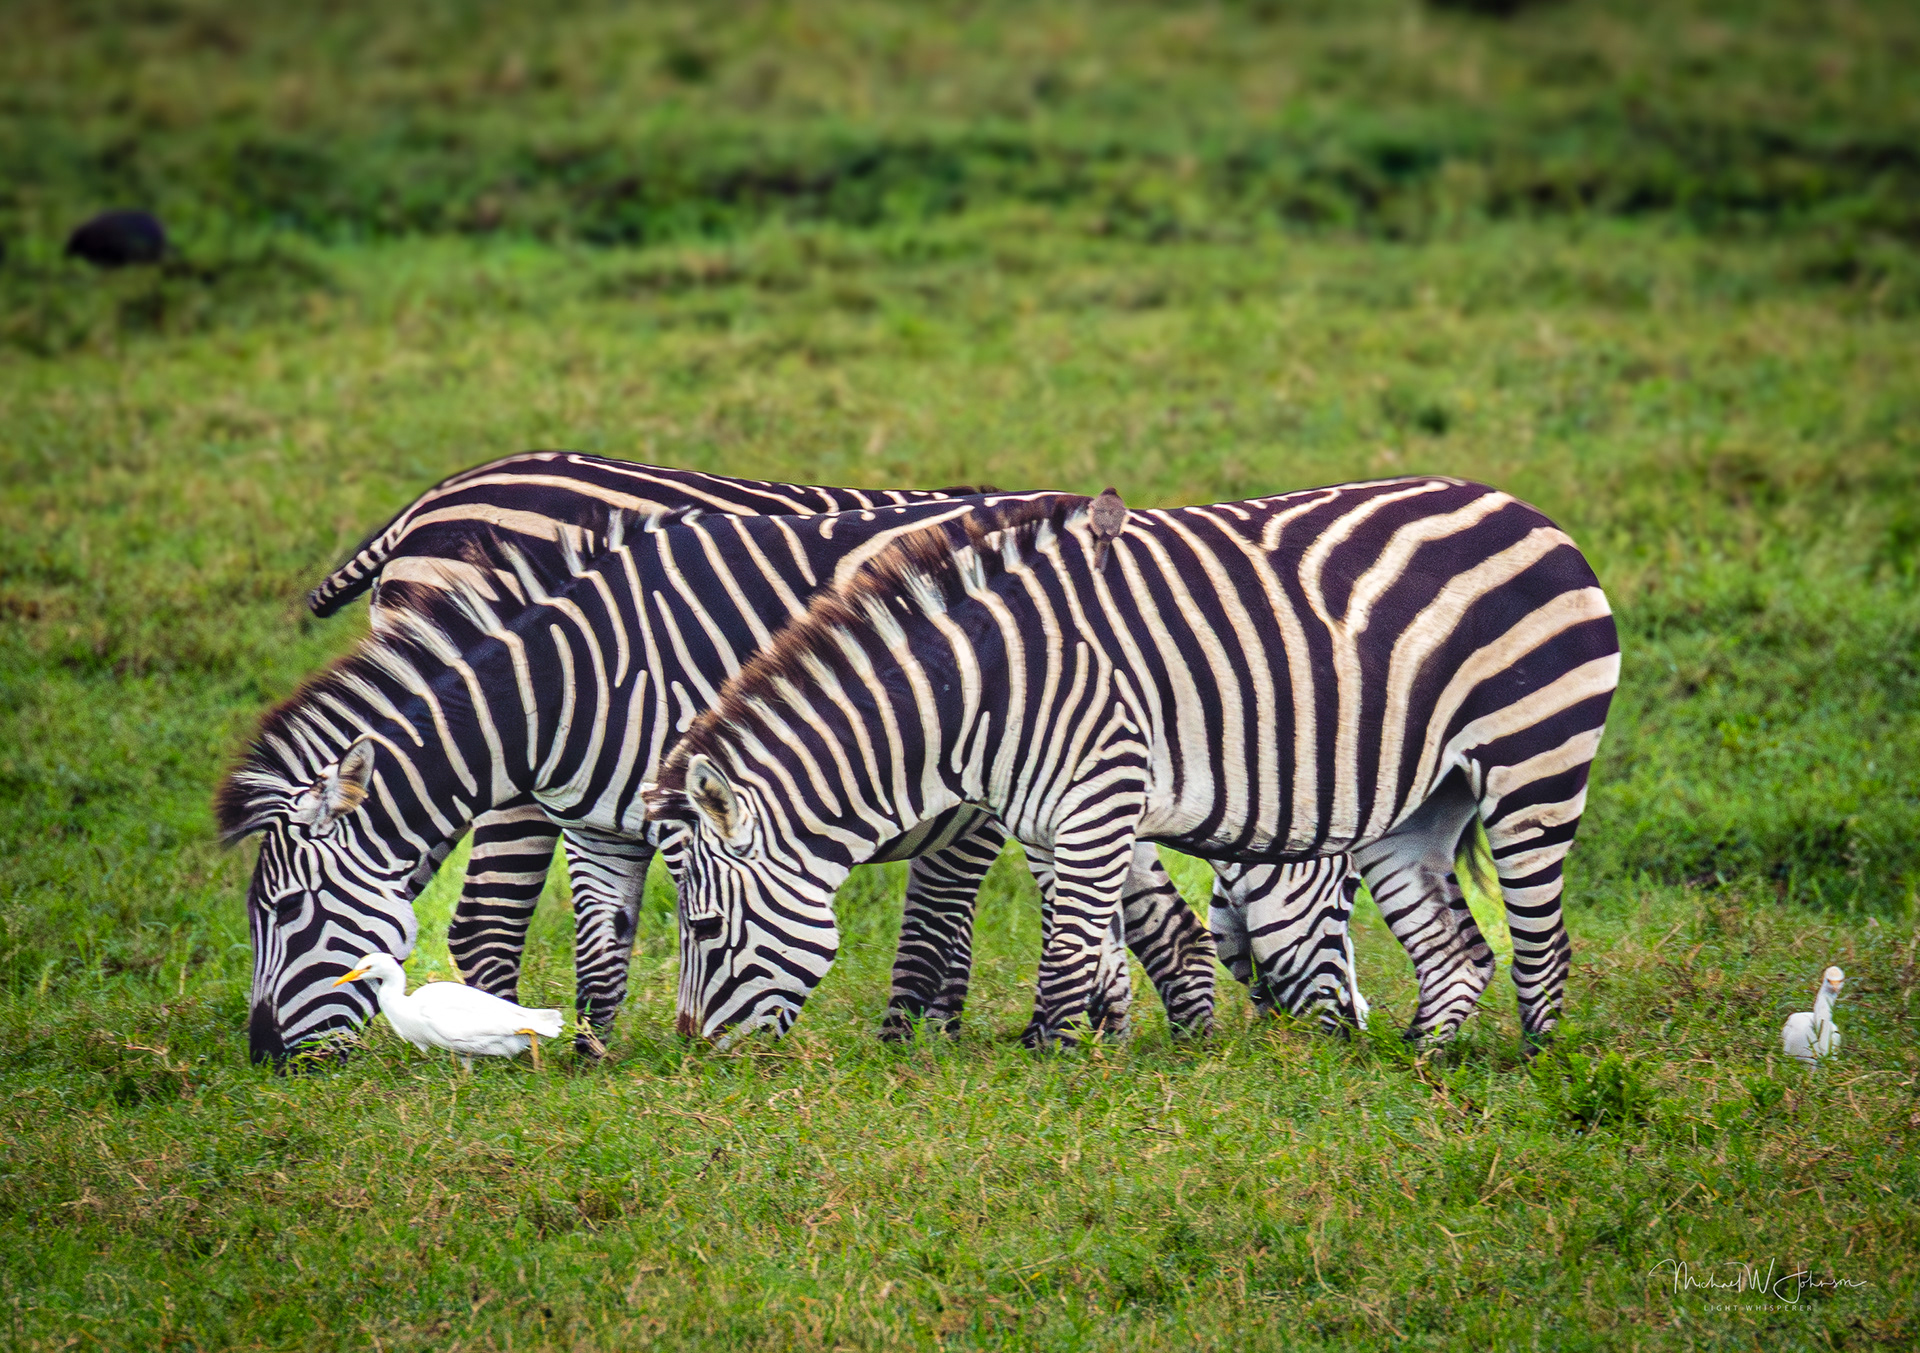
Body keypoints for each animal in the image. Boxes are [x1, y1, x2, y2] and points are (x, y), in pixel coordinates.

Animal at [225, 492, 1245, 1064]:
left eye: (284, 910)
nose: (263, 1055)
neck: (575, 678)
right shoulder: (598, 825)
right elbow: (603, 945)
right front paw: (591, 1049)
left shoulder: (695, 811)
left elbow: (712, 931)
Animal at [644, 478, 1619, 1050]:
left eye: (703, 929)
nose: (698, 1057)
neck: (982, 687)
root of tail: (1527, 510)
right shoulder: (1045, 818)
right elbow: (1099, 943)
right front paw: (1097, 1048)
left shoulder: (1098, 791)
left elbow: (1072, 944)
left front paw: (1049, 1062)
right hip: (1420, 800)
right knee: (1458, 951)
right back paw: (1420, 1066)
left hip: (1535, 758)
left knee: (1541, 942)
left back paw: (1536, 1066)